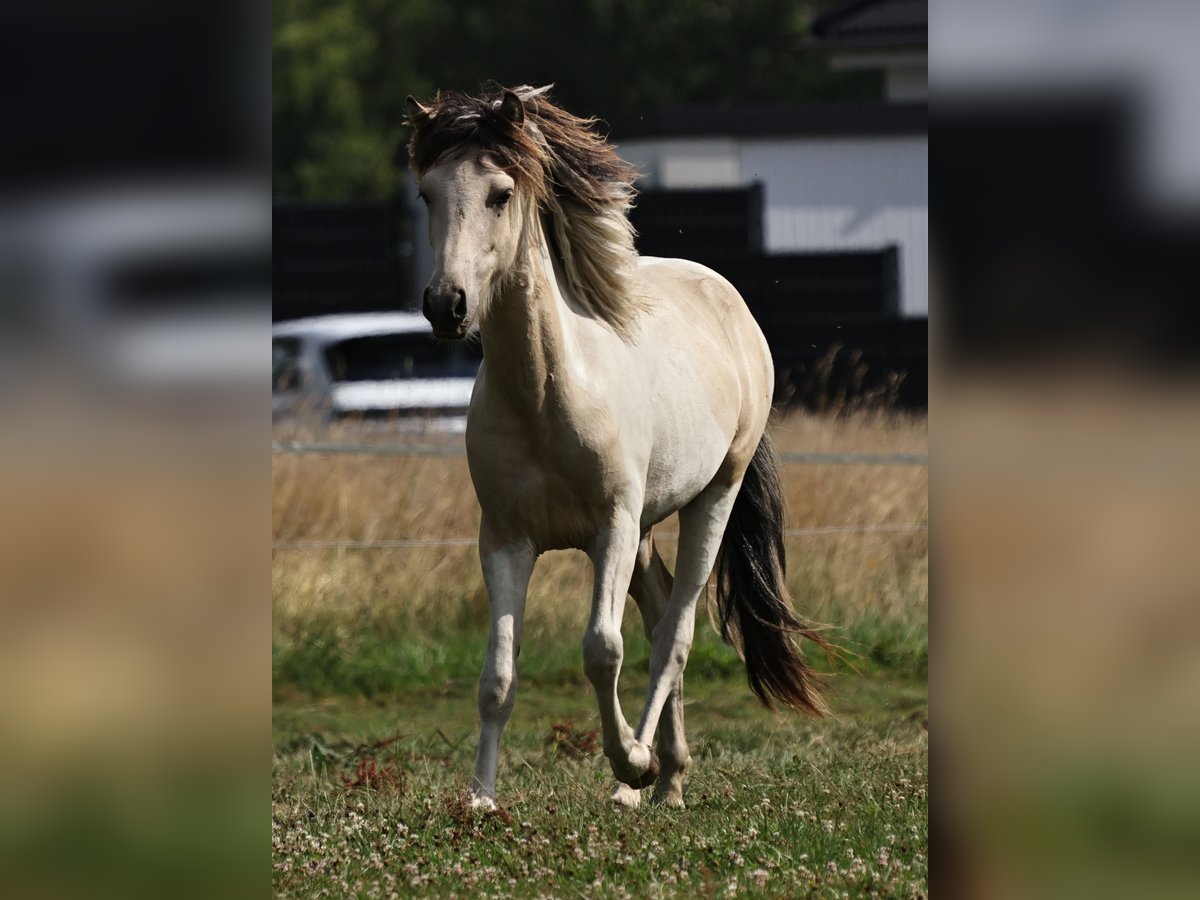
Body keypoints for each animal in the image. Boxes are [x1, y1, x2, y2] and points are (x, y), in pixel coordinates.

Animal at [404, 84, 830, 810]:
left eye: (500, 194)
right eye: (428, 193)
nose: (446, 305)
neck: (547, 394)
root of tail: (730, 304)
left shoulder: (610, 526)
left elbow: (603, 650)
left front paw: (629, 761)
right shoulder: (506, 540)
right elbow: (497, 677)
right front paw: (481, 800)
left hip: (707, 501)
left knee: (675, 631)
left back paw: (642, 777)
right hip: (644, 532)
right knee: (659, 617)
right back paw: (668, 781)